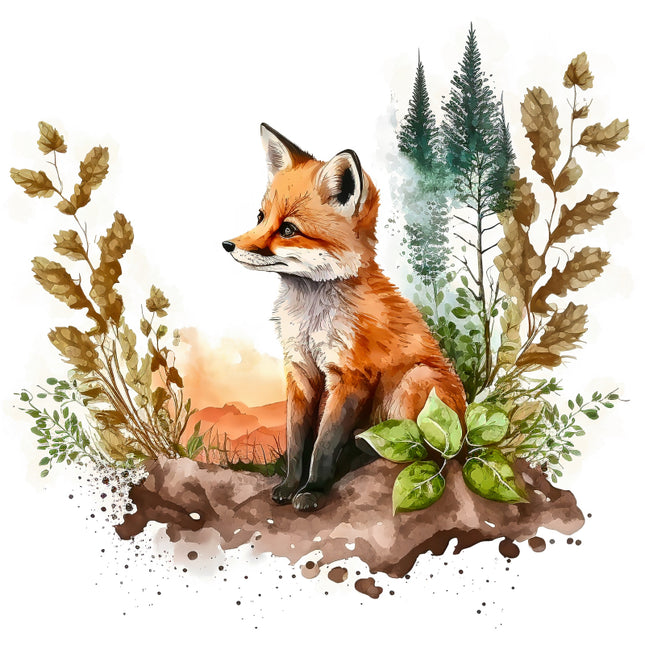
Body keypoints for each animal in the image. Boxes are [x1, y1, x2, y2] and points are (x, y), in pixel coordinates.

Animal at [222, 123, 466, 512]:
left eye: (288, 229)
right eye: (260, 218)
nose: (228, 245)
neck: (310, 316)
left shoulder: (351, 376)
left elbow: (322, 446)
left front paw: (312, 491)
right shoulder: (300, 369)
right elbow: (296, 442)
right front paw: (289, 485)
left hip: (416, 380)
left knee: (427, 452)